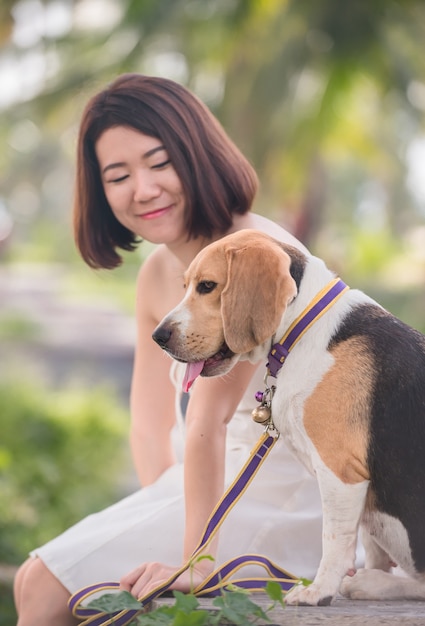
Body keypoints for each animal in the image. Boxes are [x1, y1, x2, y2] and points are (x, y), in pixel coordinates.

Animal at [152, 229, 424, 604]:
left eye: (207, 286)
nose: (158, 336)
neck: (304, 329)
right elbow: (371, 546)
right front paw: (366, 576)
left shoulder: (341, 471)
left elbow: (335, 541)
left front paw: (319, 590)